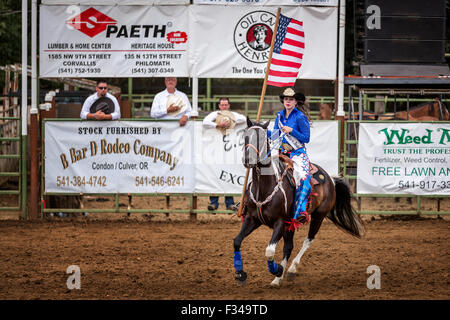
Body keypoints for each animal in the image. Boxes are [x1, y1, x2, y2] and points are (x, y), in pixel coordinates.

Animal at [234, 119, 364, 286]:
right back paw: (278, 278)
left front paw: (277, 270)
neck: (265, 187)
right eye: (246, 136)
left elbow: (269, 251)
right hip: (291, 224)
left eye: (262, 138)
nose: (248, 160)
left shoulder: (280, 222)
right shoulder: (252, 219)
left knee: (307, 241)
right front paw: (240, 273)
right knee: (289, 247)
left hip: (317, 217)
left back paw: (290, 270)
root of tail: (331, 179)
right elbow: (237, 241)